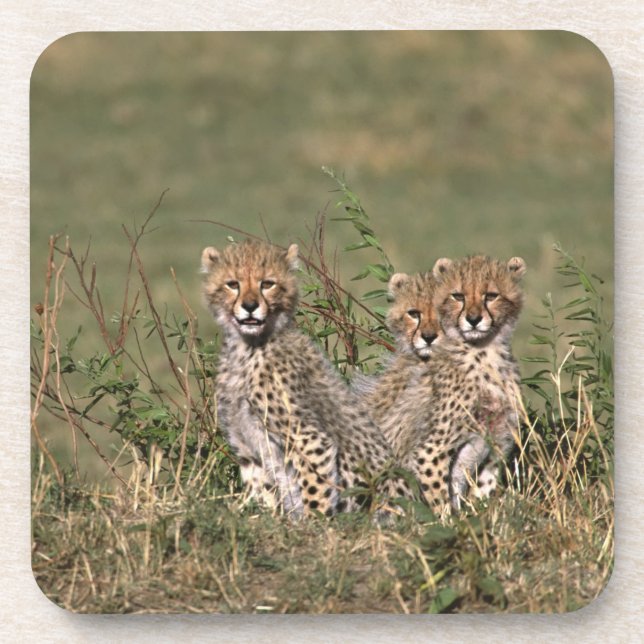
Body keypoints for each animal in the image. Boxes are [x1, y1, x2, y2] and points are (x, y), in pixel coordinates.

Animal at [201, 238, 416, 519]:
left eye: (267, 284)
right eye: (232, 284)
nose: (249, 306)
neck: (248, 346)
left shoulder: (310, 439)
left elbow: (315, 490)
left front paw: (316, 524)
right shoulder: (247, 448)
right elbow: (262, 492)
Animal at [378, 254, 527, 510]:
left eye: (491, 296)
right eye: (459, 297)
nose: (473, 319)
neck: (485, 353)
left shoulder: (497, 441)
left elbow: (483, 492)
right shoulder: (431, 449)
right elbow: (439, 501)